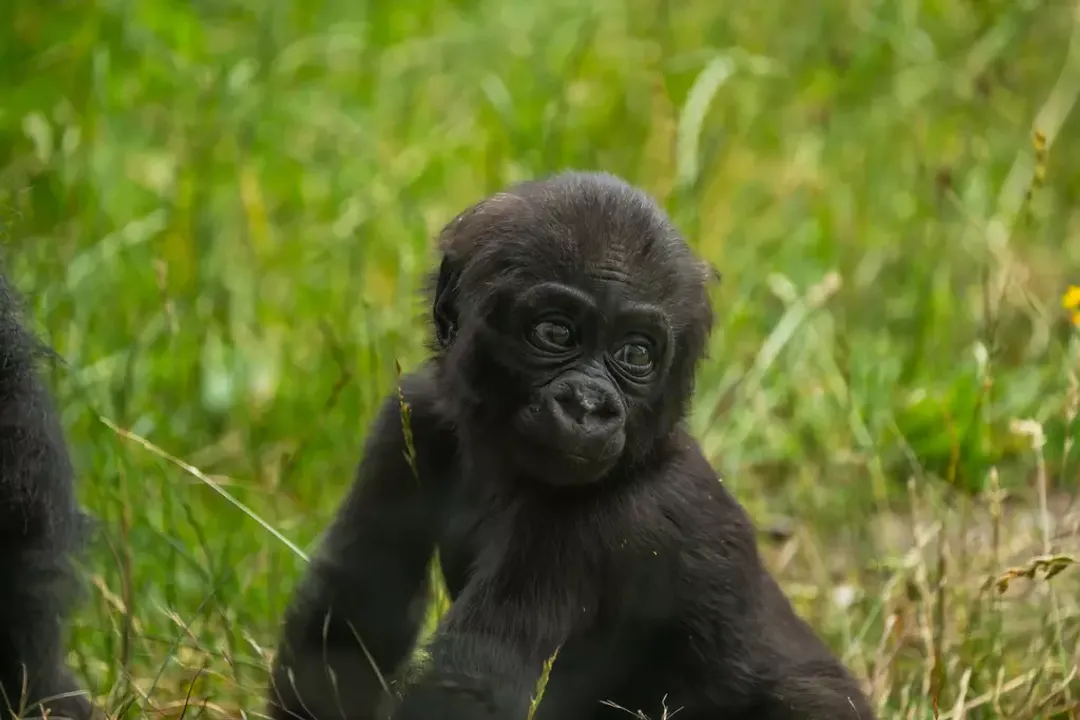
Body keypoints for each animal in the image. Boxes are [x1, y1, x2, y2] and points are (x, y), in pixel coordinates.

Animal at [267, 171, 876, 720]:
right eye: (556, 332)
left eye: (636, 353)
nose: (587, 406)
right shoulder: (412, 417)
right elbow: (350, 619)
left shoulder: (591, 521)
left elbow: (468, 687)